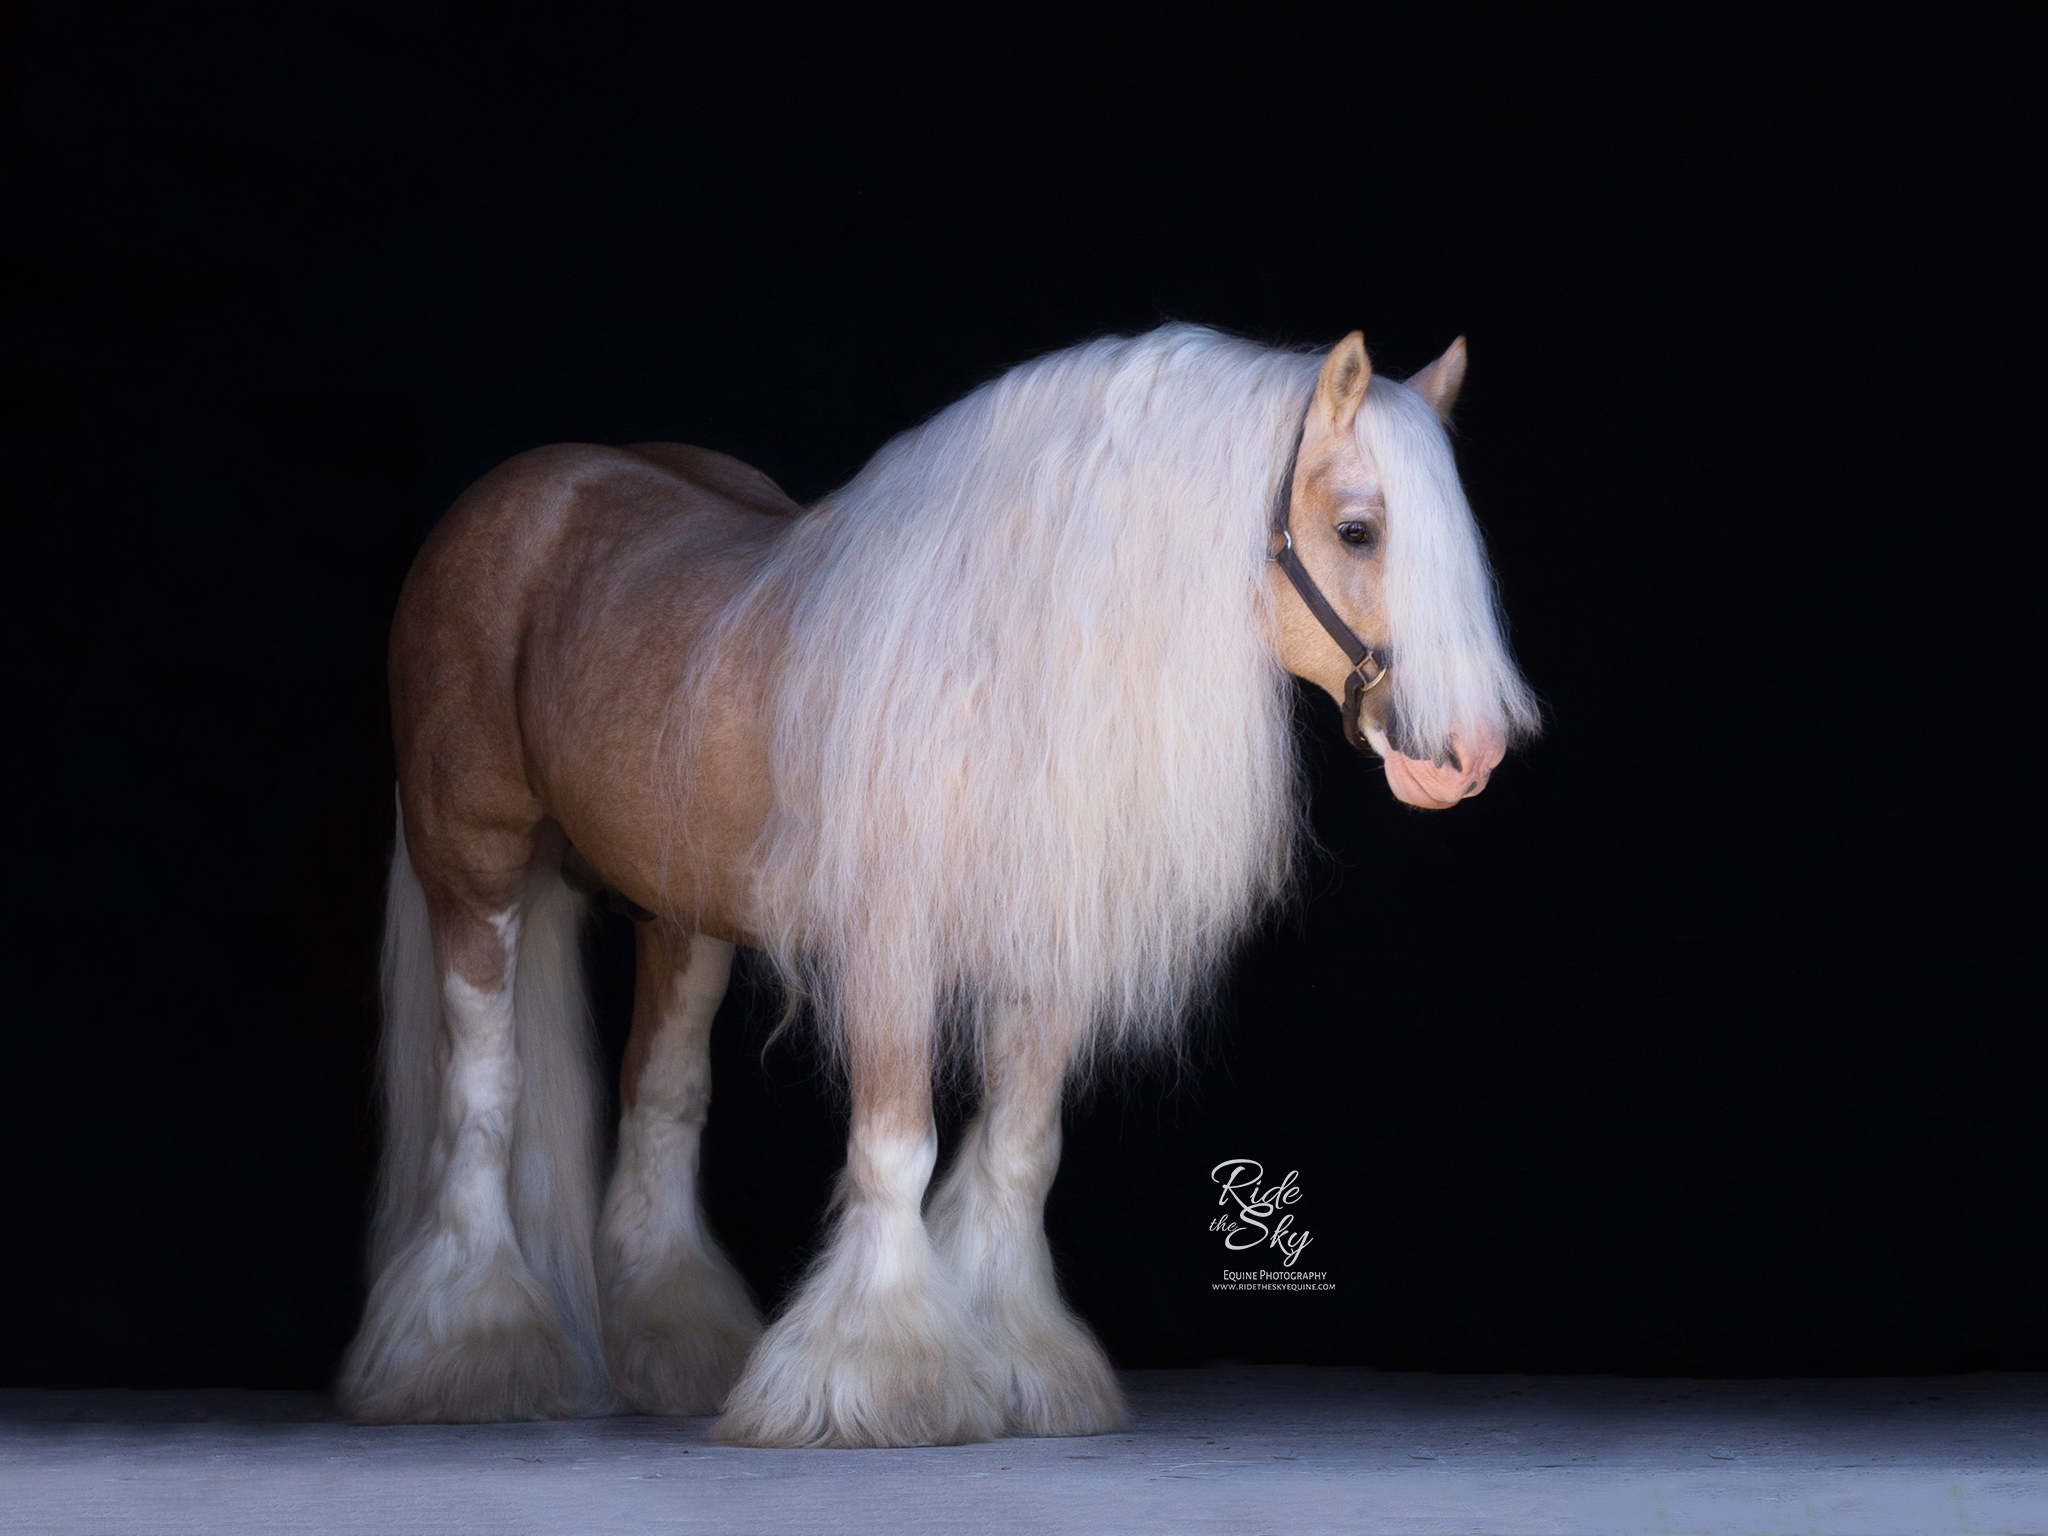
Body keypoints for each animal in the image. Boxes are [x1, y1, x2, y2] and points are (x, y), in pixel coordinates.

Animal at [339, 319, 1540, 1449]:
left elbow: (1017, 1153)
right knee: (483, 1094)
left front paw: (1017, 1362)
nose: (1468, 757)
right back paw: (470, 1351)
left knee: (661, 1100)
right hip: (475, 865)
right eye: (1357, 529)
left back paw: (674, 1352)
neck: (1002, 667)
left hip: (681, 918)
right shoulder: (890, 948)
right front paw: (880, 1375)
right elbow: (896, 1147)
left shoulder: (1044, 954)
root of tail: (528, 495)